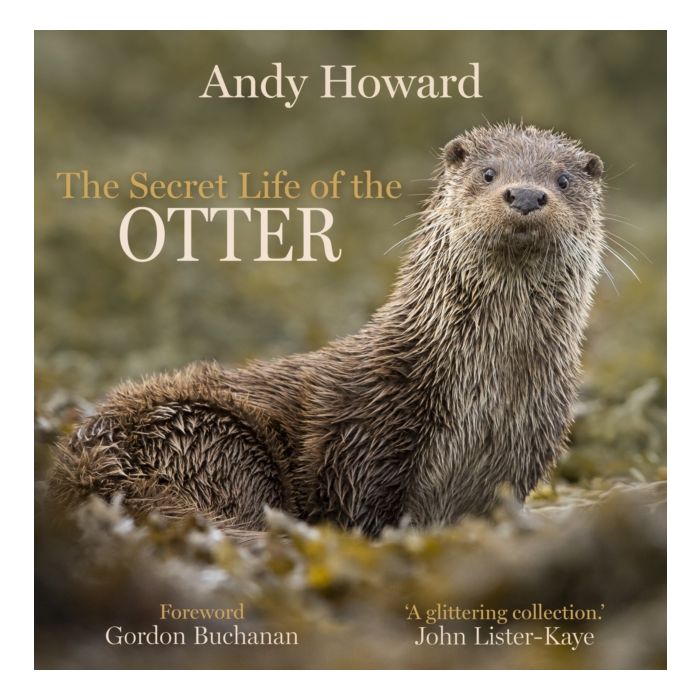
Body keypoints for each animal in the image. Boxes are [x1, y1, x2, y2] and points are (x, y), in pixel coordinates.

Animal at [50, 124, 605, 537]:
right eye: (488, 173)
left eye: (563, 180)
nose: (527, 195)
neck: (488, 397)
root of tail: (84, 464)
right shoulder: (362, 442)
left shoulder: (523, 453)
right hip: (211, 436)